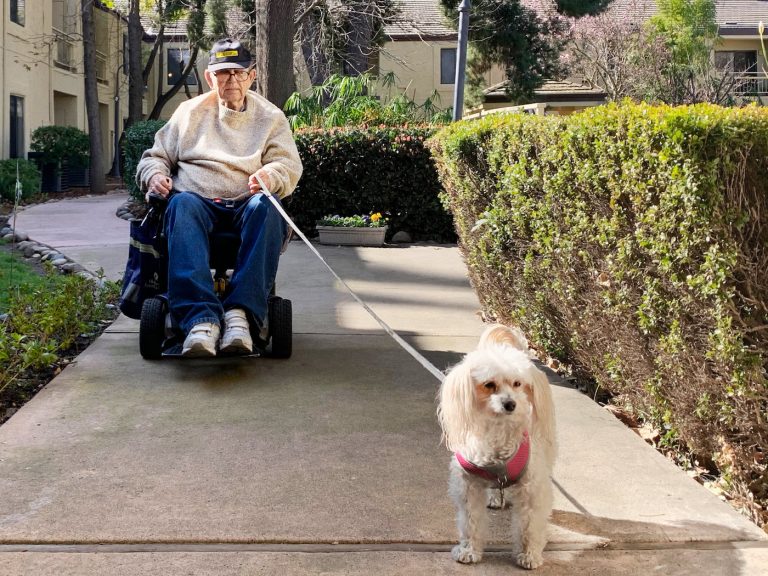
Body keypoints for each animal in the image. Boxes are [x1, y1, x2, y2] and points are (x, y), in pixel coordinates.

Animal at [438, 322, 560, 568]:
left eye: (517, 383)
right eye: (489, 385)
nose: (510, 403)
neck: (498, 434)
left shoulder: (532, 488)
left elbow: (529, 525)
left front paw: (529, 554)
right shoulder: (469, 486)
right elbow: (470, 522)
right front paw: (469, 550)